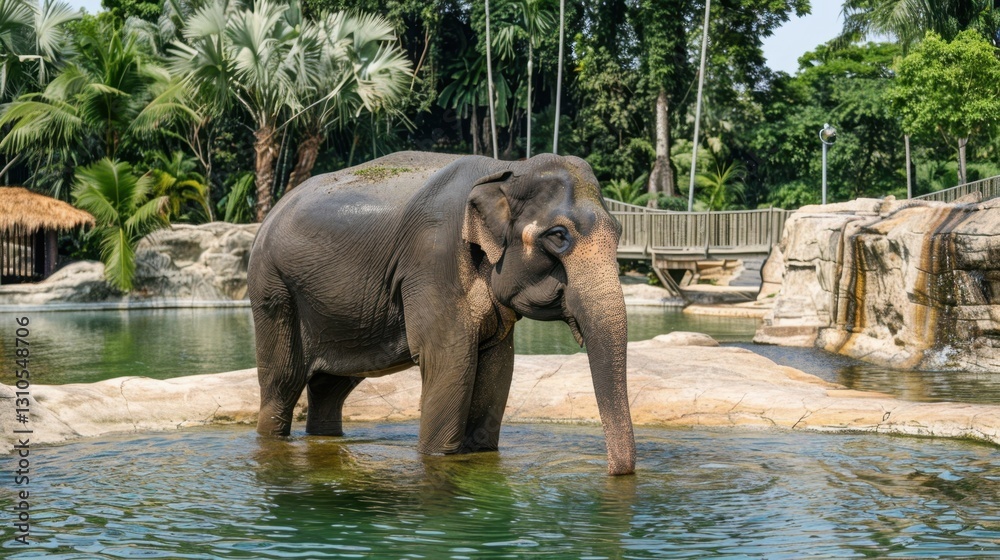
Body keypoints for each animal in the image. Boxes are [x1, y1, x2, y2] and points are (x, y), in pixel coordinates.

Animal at [248, 151, 635, 475]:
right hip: (273, 290)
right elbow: (450, 359)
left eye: (619, 233)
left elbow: (497, 365)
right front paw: (439, 458)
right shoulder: (433, 260)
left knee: (330, 387)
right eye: (558, 236)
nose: (611, 471)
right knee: (283, 382)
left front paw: (479, 454)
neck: (508, 167)